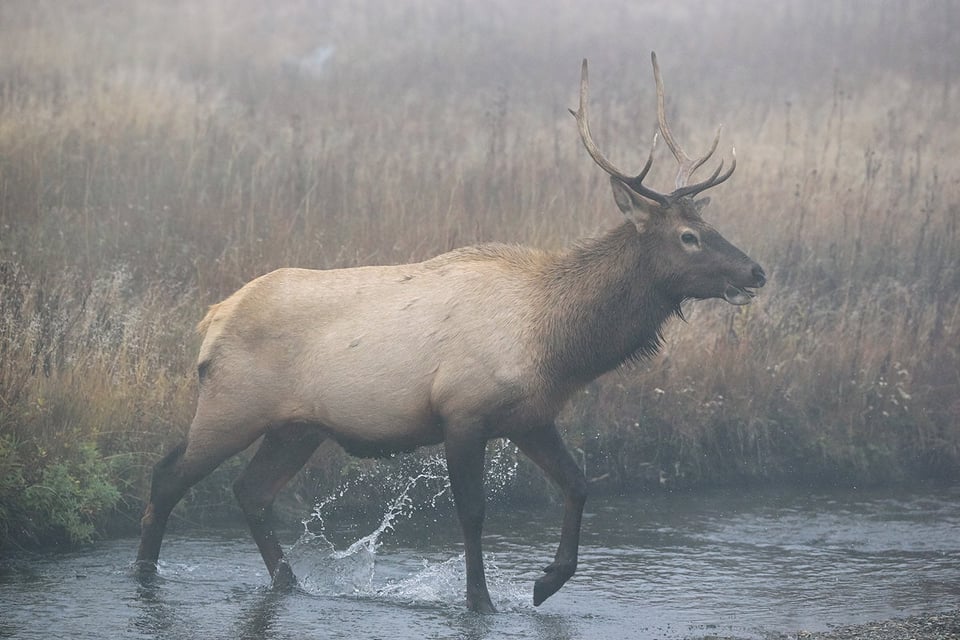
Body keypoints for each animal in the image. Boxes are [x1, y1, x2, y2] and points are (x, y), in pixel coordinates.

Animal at [135, 52, 764, 612]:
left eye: (709, 224)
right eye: (688, 236)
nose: (755, 271)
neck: (557, 344)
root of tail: (213, 317)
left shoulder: (530, 416)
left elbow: (580, 483)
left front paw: (546, 582)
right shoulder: (463, 411)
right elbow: (473, 513)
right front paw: (481, 601)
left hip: (296, 427)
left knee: (251, 492)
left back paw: (290, 583)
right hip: (232, 404)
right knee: (169, 476)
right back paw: (145, 576)